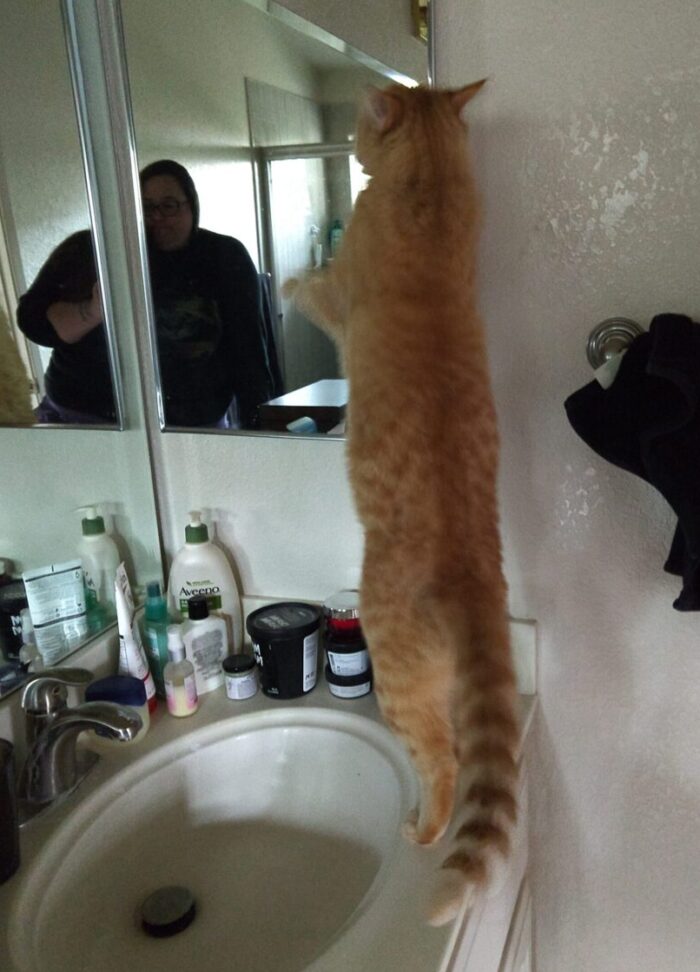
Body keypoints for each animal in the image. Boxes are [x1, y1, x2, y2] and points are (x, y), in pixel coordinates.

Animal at [284, 83, 520, 928]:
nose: (354, 140)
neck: (432, 191)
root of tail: (469, 575)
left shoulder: (339, 291)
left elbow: (313, 281)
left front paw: (286, 280)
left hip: (395, 677)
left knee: (443, 759)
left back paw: (420, 830)